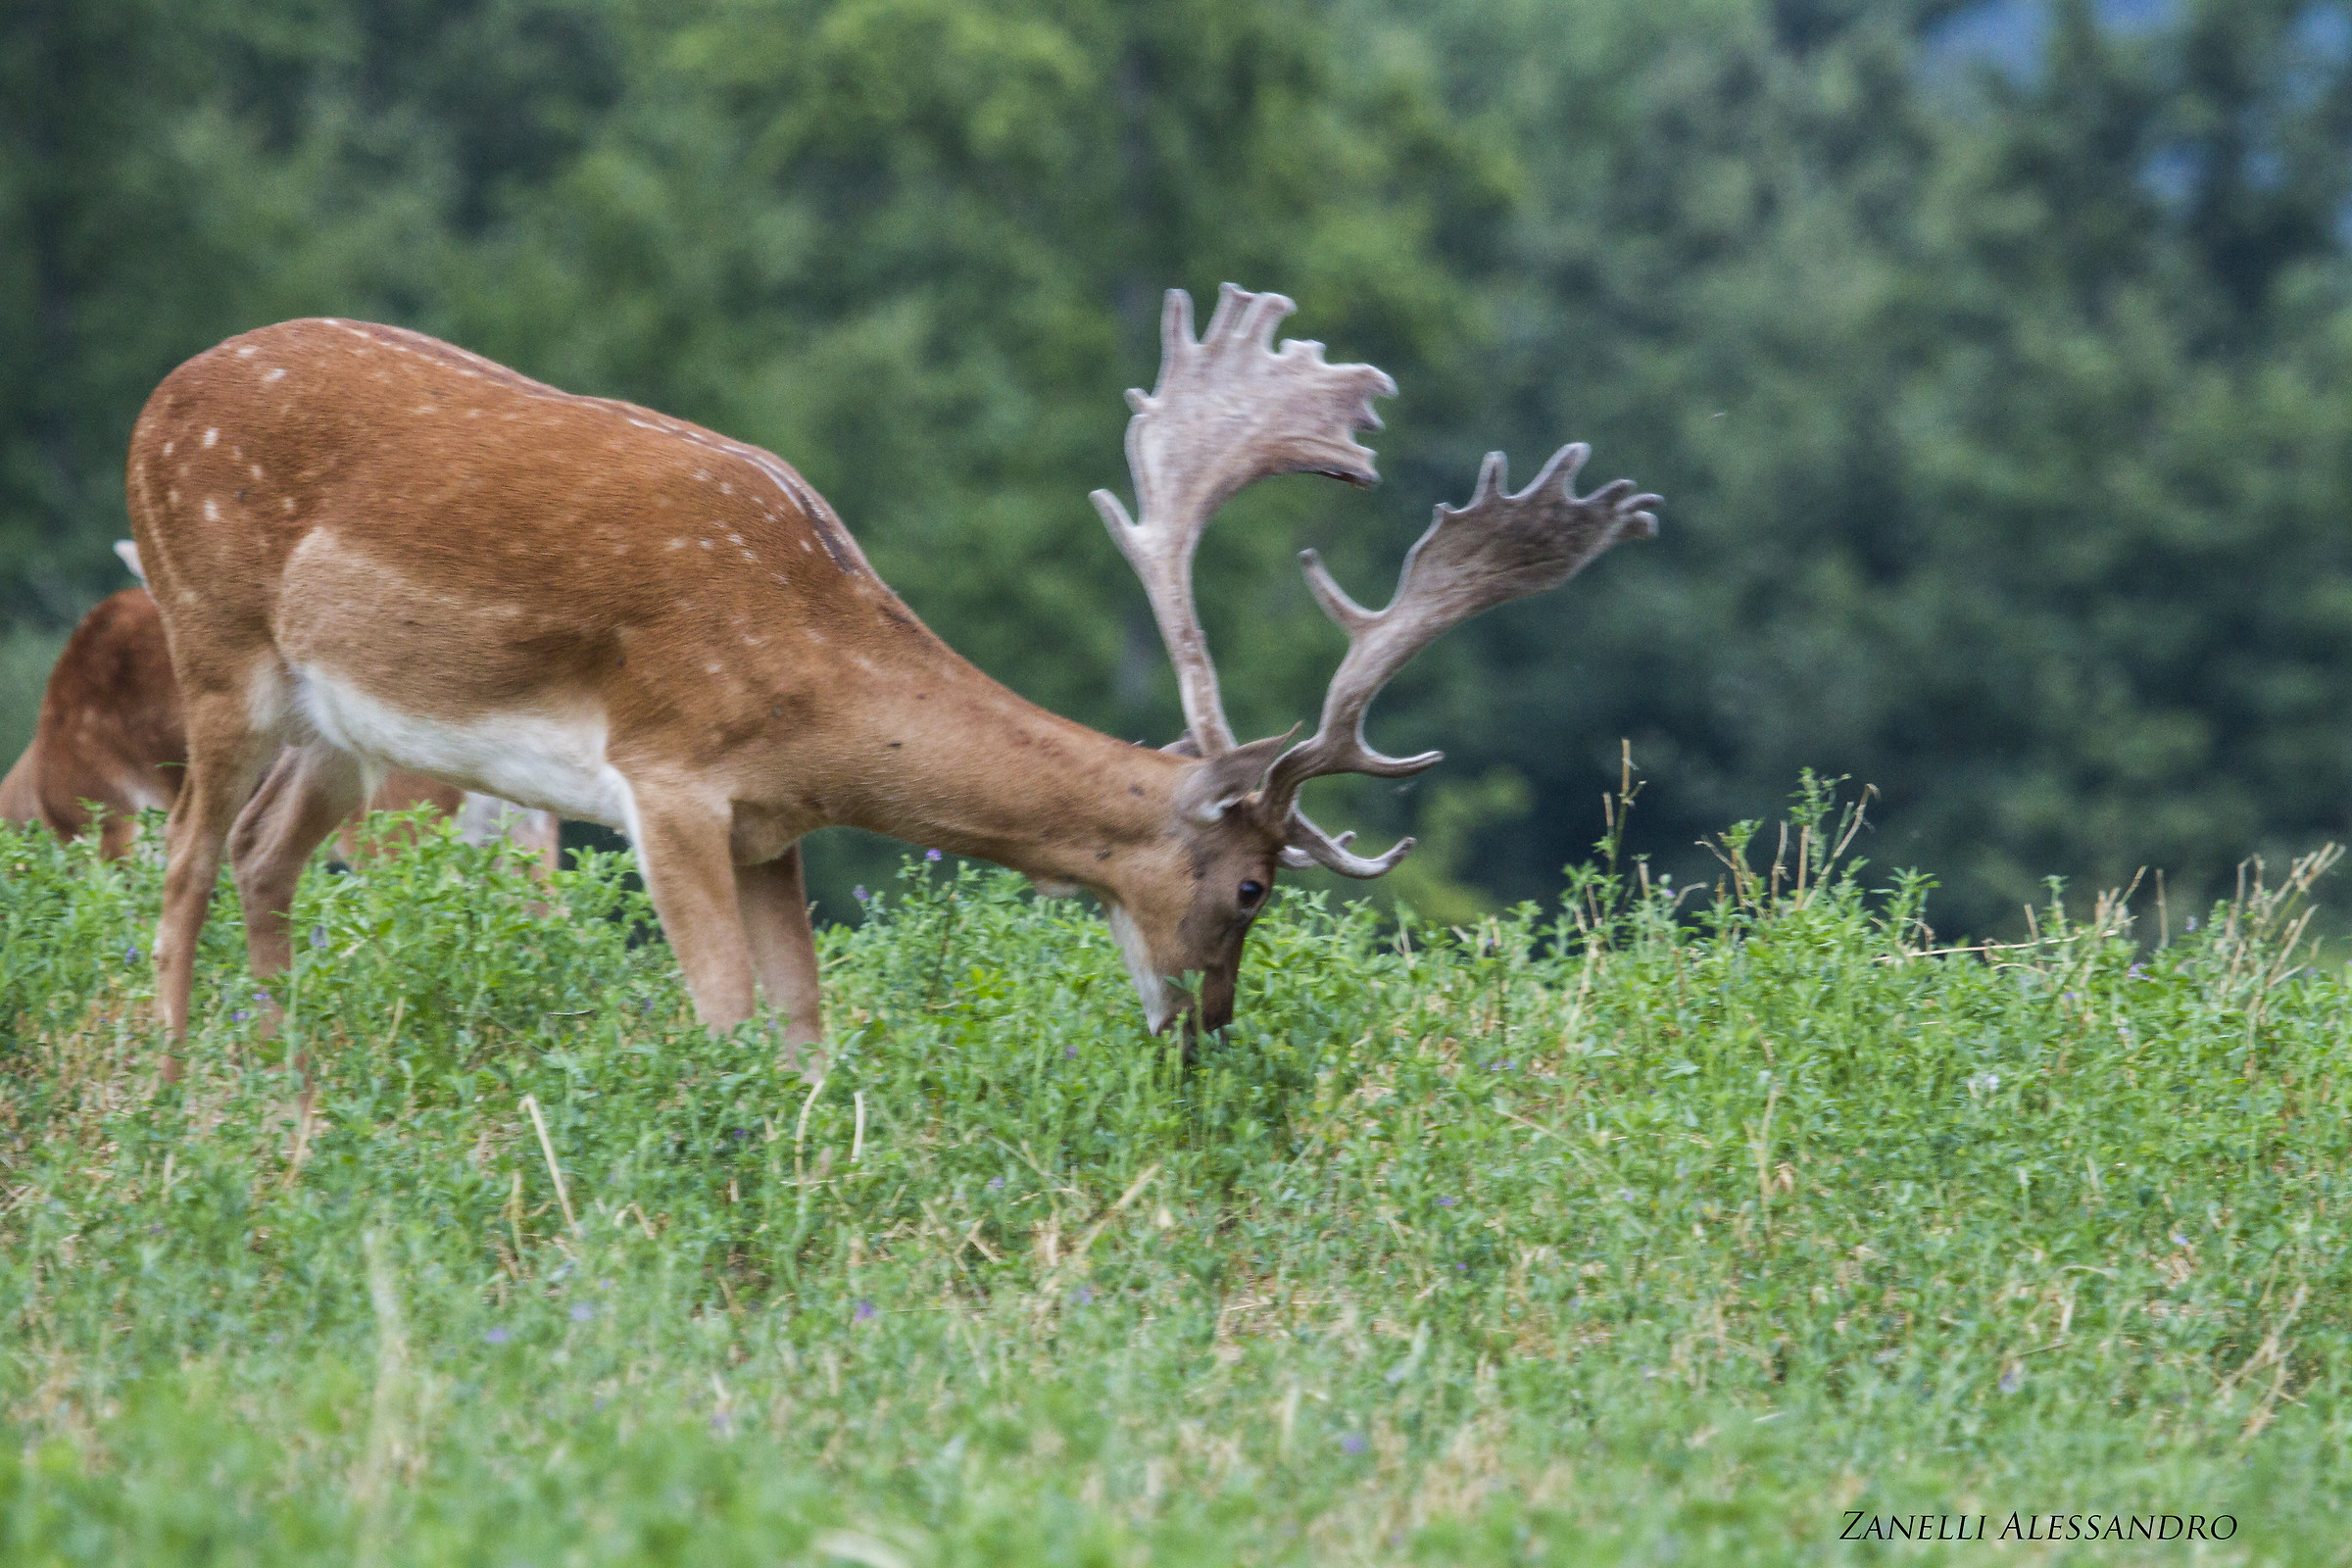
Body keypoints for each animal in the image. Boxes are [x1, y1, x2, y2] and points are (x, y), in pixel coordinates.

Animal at [126, 284, 1656, 1057]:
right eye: (1253, 889)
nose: (1206, 1035)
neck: (818, 691)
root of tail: (156, 398)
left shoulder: (769, 826)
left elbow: (809, 1024)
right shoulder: (666, 778)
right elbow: (726, 1018)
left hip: (344, 729)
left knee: (263, 857)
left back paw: (285, 1089)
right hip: (213, 636)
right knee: (187, 860)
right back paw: (181, 1093)